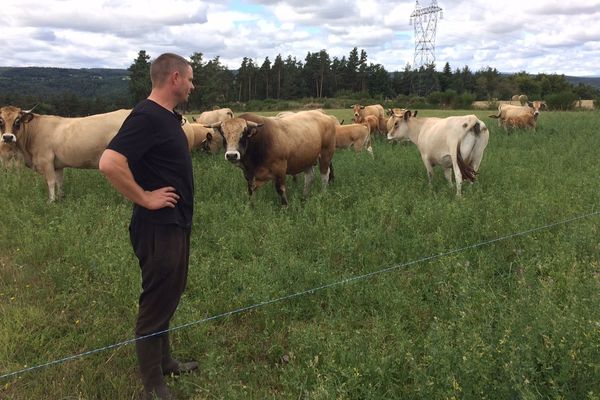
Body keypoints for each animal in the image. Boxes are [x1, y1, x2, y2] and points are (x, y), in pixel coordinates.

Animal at [0, 106, 131, 202]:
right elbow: (59, 182)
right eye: (0, 122)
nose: (7, 137)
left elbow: (51, 182)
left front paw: (51, 201)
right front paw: (60, 198)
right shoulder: (57, 165)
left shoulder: (46, 160)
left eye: (17, 121)